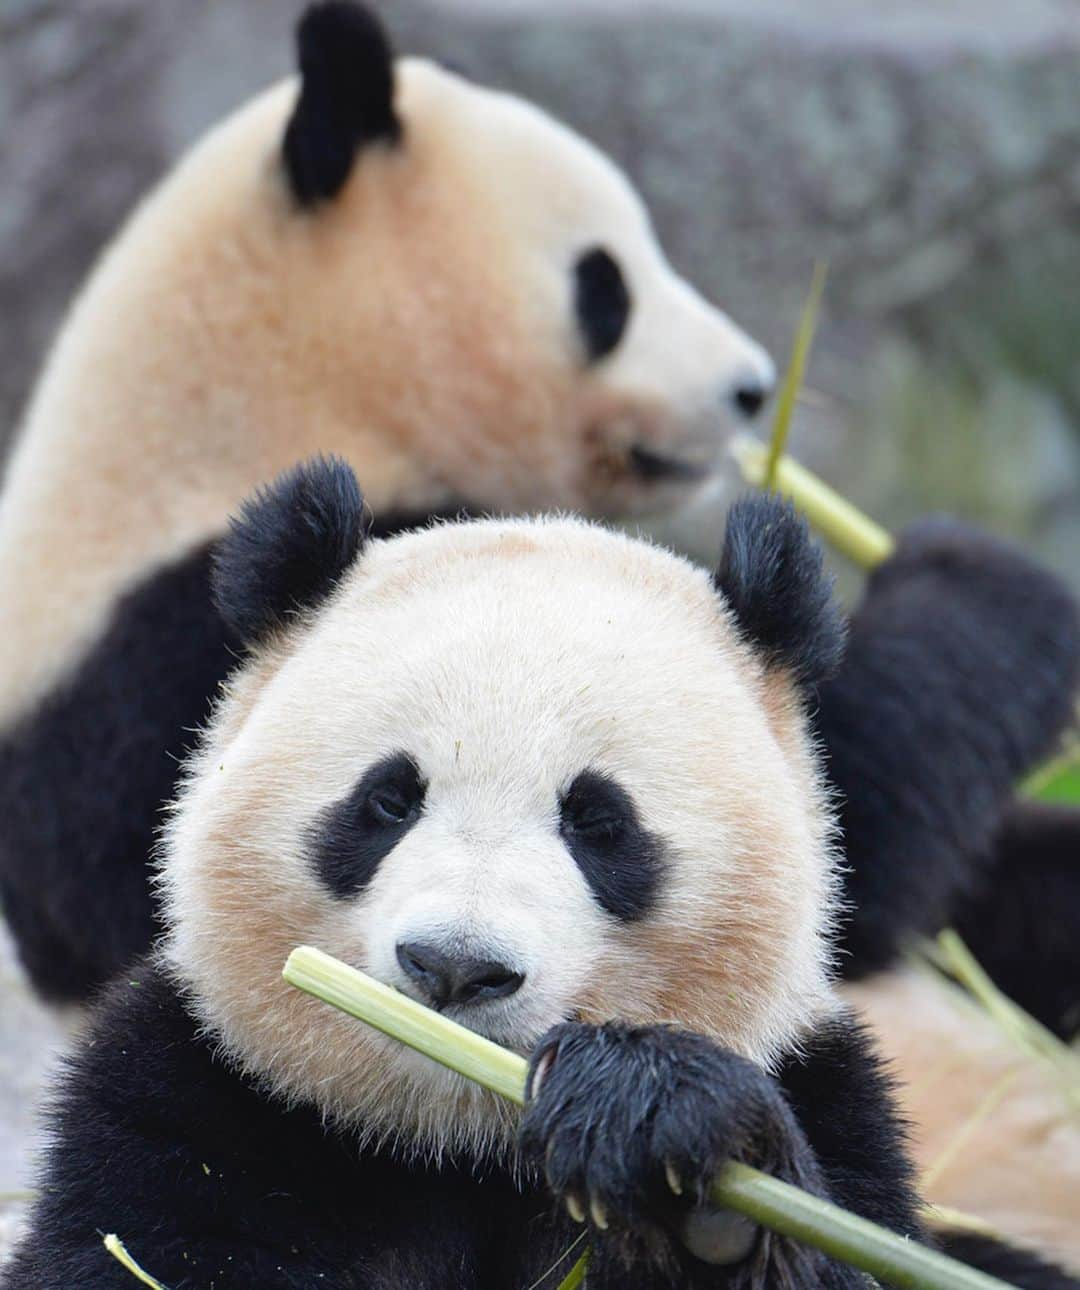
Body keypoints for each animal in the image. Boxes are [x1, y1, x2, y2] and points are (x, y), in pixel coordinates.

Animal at [4, 464, 1073, 1290]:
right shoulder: (201, 1104)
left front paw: (668, 1139)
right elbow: (139, 1247)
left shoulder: (828, 1094)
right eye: (388, 800)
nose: (454, 968)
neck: (467, 1145)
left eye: (597, 822)